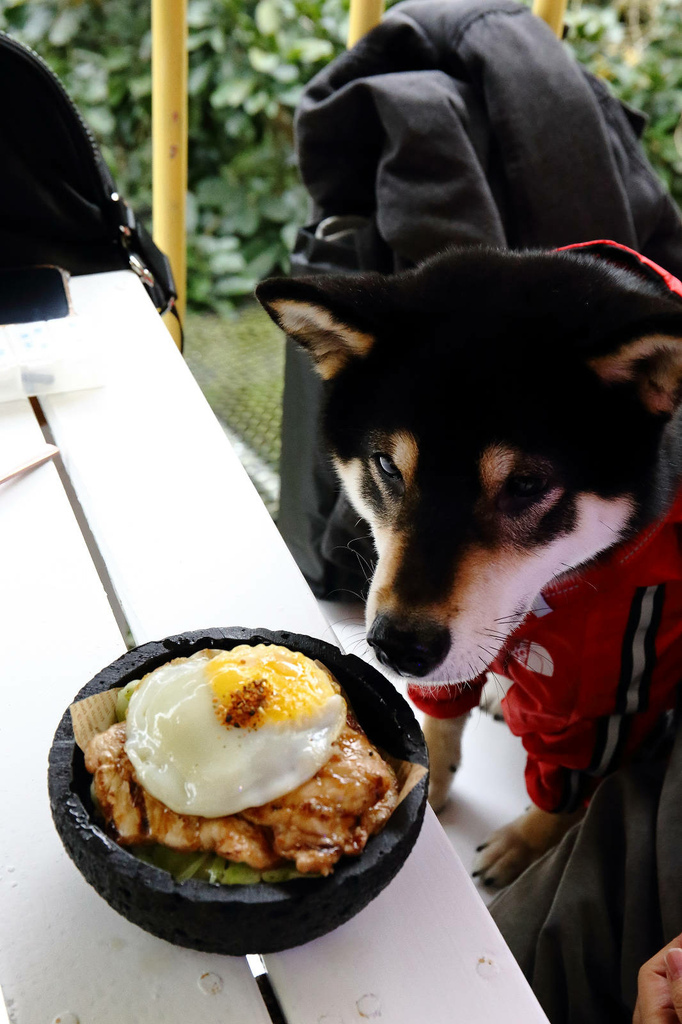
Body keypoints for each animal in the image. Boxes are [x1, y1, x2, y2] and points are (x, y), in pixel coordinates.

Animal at [253, 241, 679, 888]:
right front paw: (430, 782)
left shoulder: (615, 684)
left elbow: (569, 783)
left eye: (526, 485)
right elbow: (443, 717)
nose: (398, 647)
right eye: (387, 464)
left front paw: (526, 844)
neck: (553, 596)